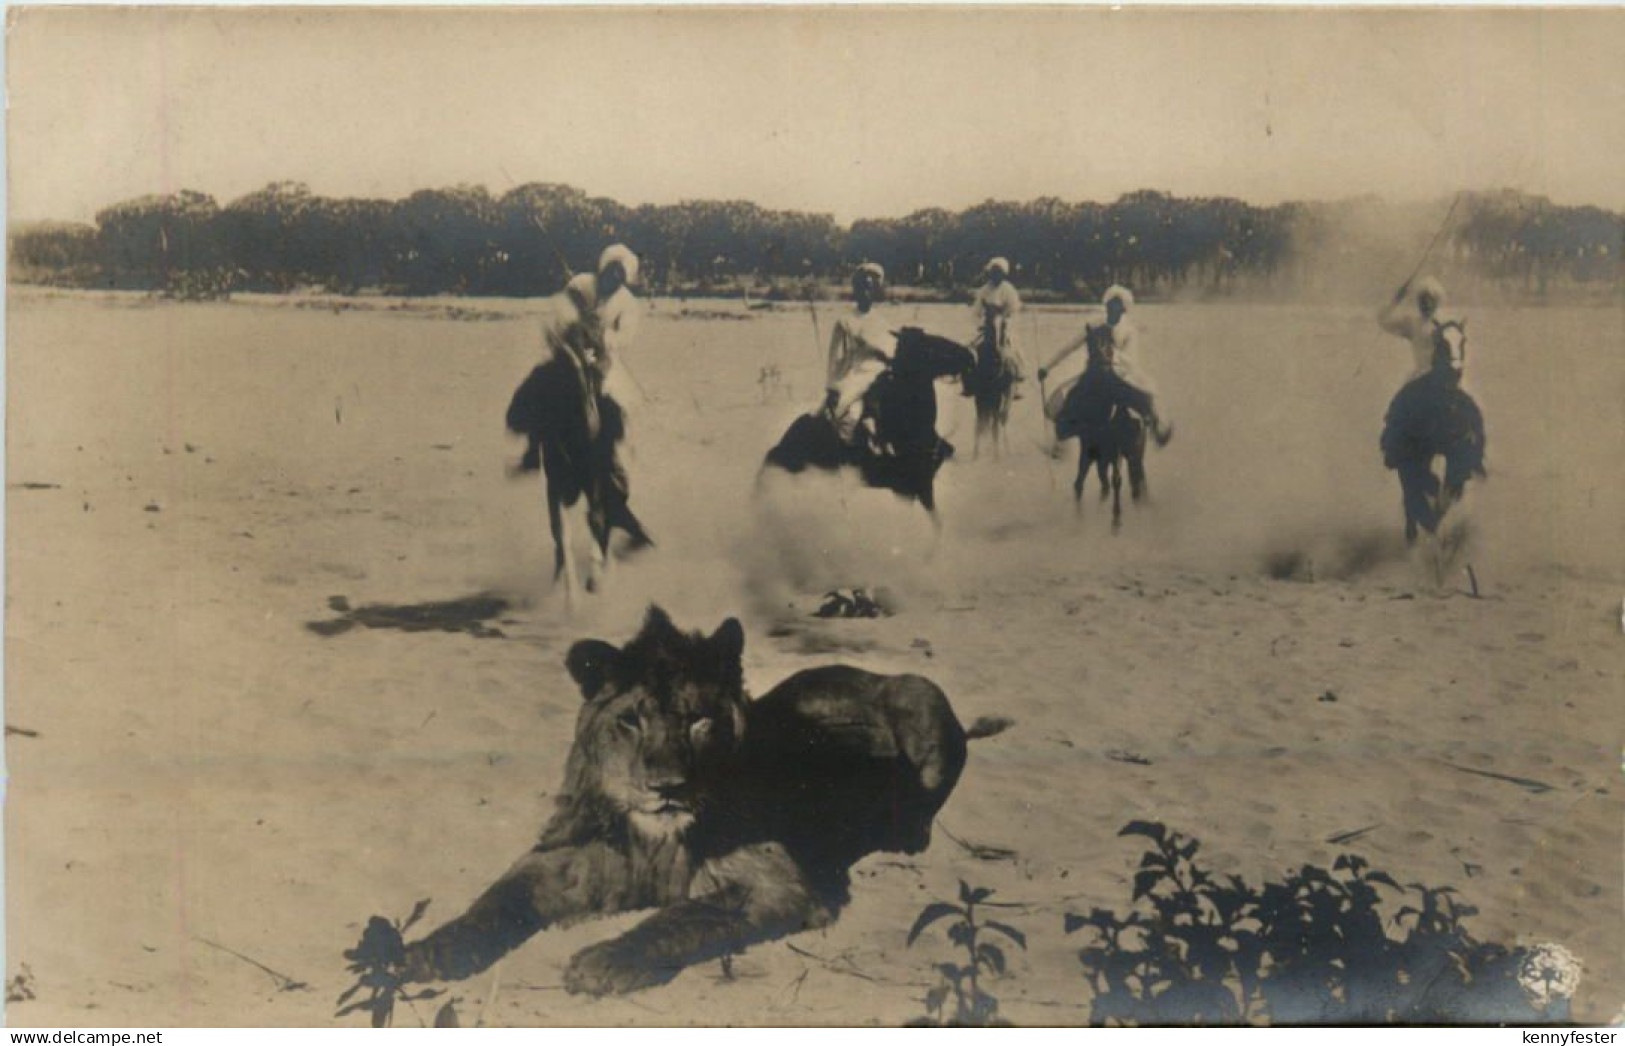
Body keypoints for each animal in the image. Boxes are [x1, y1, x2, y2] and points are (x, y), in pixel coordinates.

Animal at [391, 604, 1001, 994]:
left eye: (699, 720)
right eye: (631, 721)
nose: (667, 785)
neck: (653, 839)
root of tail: (868, 669)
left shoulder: (778, 882)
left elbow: (680, 915)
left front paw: (603, 960)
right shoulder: (563, 860)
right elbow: (494, 901)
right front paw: (430, 951)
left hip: (920, 694)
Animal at [510, 341, 656, 604]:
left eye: (538, 380)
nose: (512, 418)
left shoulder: (596, 487)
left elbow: (598, 523)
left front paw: (592, 582)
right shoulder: (557, 489)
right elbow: (562, 535)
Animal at [1046, 324, 1150, 532]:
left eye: (1110, 341)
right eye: (1089, 342)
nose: (1102, 364)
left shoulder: (1118, 448)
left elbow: (1119, 480)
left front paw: (1117, 519)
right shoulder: (1093, 448)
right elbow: (1085, 482)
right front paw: (1082, 520)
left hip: (1131, 450)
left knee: (1134, 476)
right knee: (1105, 481)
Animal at [1384, 316, 1488, 548]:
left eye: (1463, 341)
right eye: (1441, 343)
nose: (1457, 369)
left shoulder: (1457, 455)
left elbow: (1449, 489)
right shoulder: (1415, 459)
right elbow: (1424, 487)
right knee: (1411, 491)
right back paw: (1415, 531)